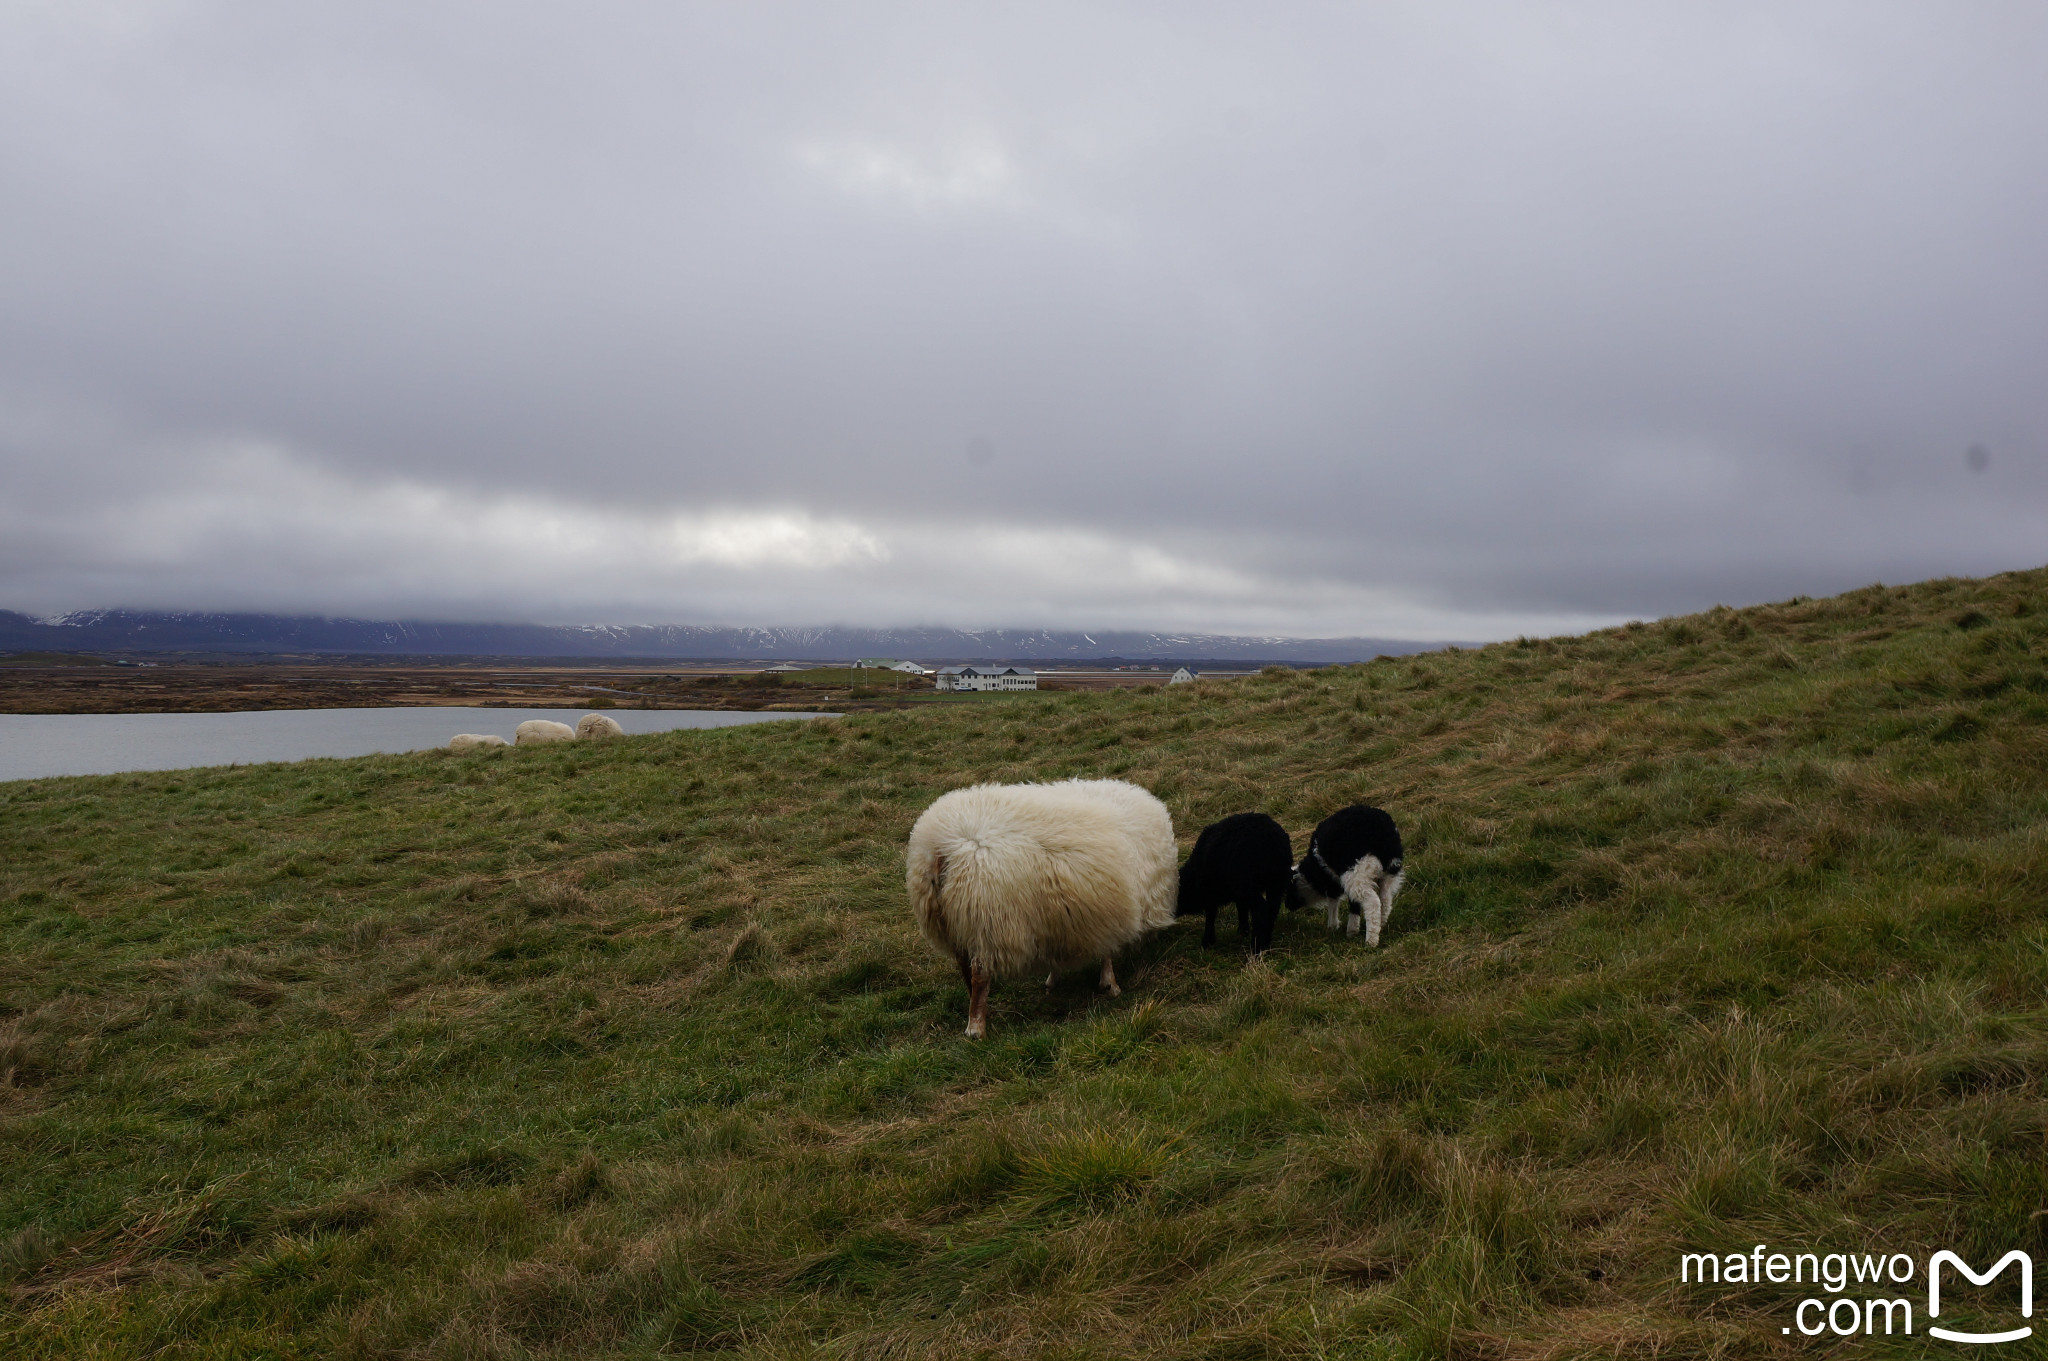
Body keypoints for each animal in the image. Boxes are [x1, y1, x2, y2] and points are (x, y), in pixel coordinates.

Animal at [909, 781, 1179, 1035]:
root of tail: (941, 849)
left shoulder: (1062, 917)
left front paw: (1052, 980)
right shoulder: (1110, 910)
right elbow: (1107, 952)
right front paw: (1110, 985)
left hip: (955, 922)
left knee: (964, 967)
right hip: (987, 922)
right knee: (979, 975)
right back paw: (976, 1027)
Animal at [1179, 810, 1286, 949]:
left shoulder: (1210, 891)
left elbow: (1210, 915)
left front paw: (1207, 942)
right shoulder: (1237, 894)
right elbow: (1241, 908)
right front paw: (1243, 931)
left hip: (1246, 882)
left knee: (1260, 909)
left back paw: (1256, 947)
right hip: (1276, 881)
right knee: (1273, 907)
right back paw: (1266, 942)